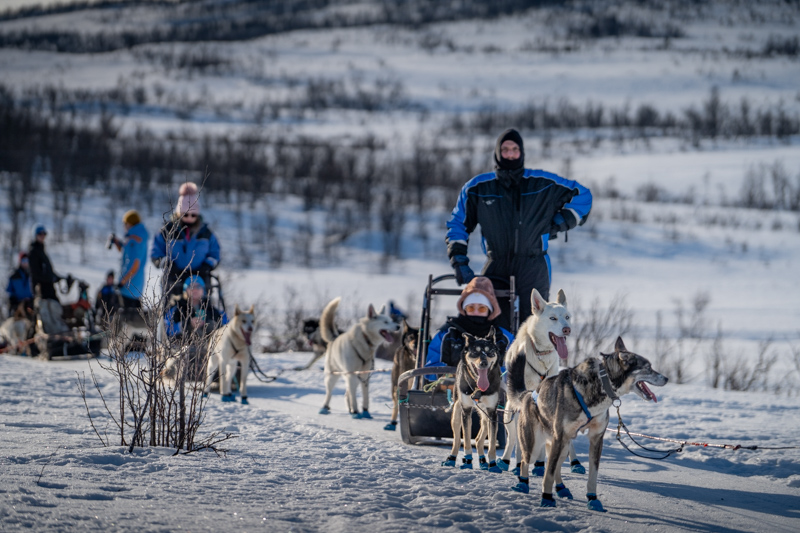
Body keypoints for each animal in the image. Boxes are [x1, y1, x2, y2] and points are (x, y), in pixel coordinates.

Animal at [440, 330, 504, 472]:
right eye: (475, 352)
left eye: (490, 352)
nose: (483, 363)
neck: (478, 387)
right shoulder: (466, 411)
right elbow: (467, 441)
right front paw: (468, 461)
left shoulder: (492, 413)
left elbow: (492, 443)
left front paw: (493, 464)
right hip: (457, 412)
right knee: (457, 440)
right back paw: (452, 458)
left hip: (485, 416)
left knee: (479, 439)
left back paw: (483, 461)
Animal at [500, 288, 580, 476]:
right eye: (553, 318)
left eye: (567, 317)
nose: (567, 329)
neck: (541, 355)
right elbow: (520, 442)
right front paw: (520, 466)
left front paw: (541, 464)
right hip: (509, 410)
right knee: (512, 438)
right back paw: (505, 461)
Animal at [512, 336, 668, 512]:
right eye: (648, 367)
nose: (667, 378)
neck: (602, 384)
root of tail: (527, 395)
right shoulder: (560, 436)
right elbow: (548, 473)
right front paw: (546, 498)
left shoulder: (596, 438)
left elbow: (592, 474)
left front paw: (593, 499)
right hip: (536, 445)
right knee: (526, 462)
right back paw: (523, 484)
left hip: (564, 446)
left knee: (556, 465)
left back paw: (561, 488)